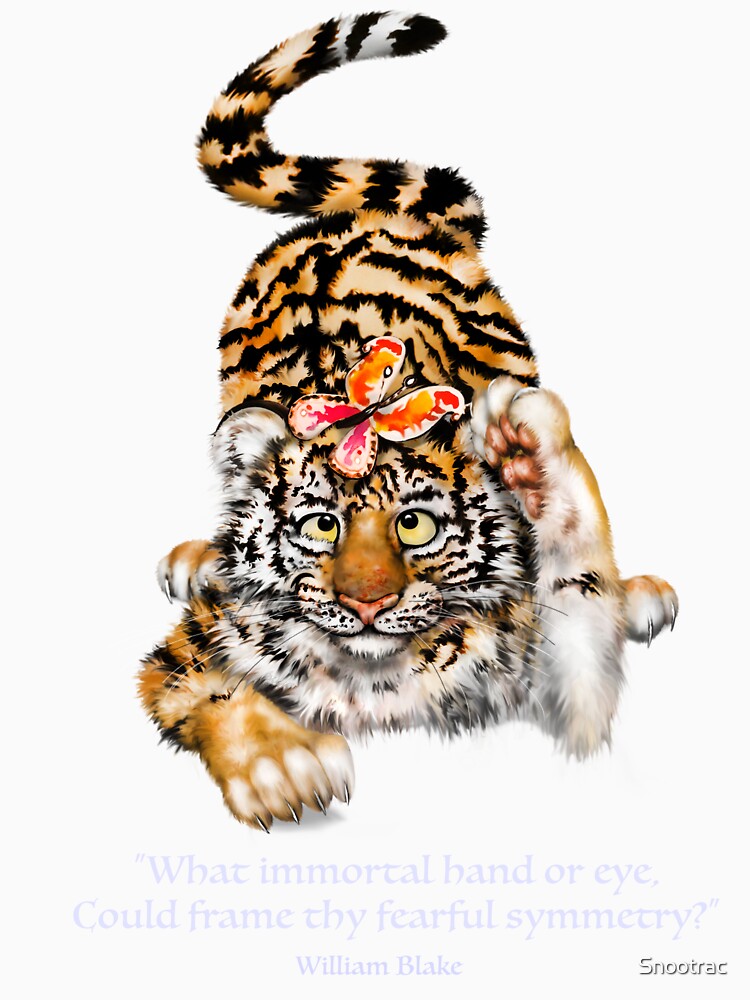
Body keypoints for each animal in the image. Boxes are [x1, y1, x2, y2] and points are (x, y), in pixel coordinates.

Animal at [138, 12, 678, 832]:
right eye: (321, 524)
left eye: (415, 524)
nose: (367, 604)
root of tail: (378, 216)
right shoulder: (186, 654)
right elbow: (214, 689)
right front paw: (284, 768)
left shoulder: (545, 666)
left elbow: (580, 609)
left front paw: (531, 452)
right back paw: (197, 558)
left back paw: (640, 591)